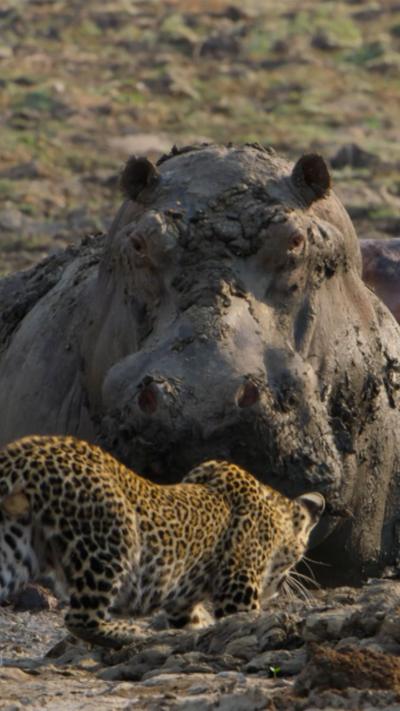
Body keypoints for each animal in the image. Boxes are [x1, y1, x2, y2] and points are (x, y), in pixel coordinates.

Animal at [0, 435, 324, 649]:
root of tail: (22, 454)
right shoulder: (238, 588)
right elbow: (243, 617)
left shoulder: (182, 602)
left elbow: (193, 621)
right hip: (113, 536)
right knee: (79, 619)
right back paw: (130, 633)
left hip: (13, 544)